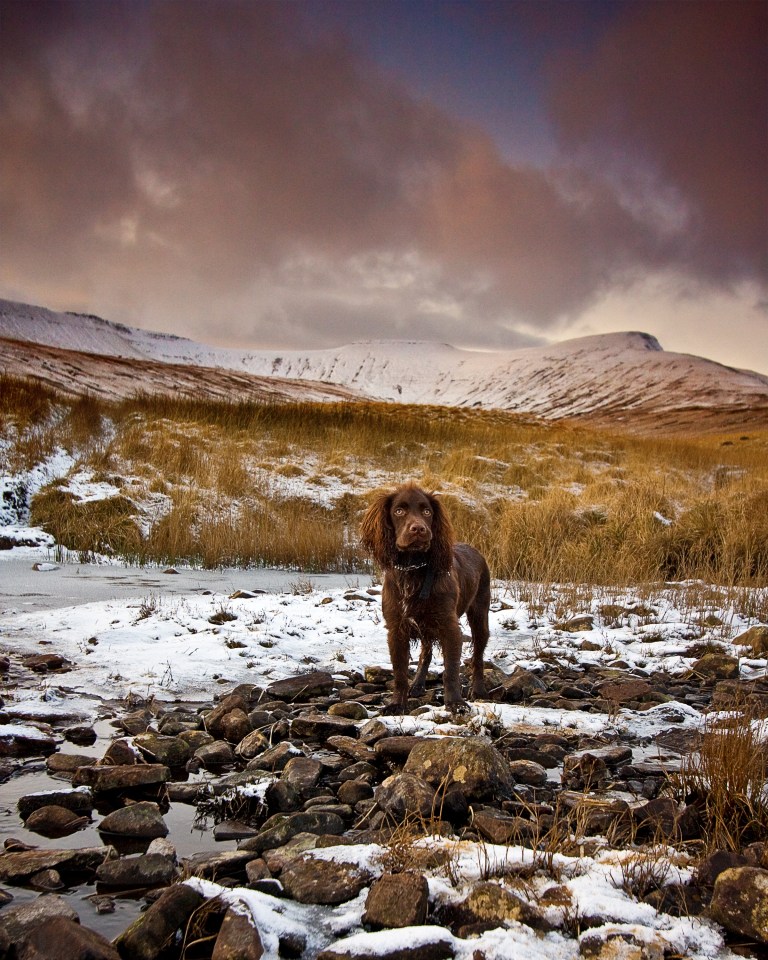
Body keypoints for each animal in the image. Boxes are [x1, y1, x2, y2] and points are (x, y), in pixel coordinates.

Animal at [362, 480, 492, 712]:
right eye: (399, 511)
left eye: (427, 512)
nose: (419, 529)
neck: (413, 570)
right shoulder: (397, 629)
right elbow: (400, 672)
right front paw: (397, 703)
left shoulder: (450, 627)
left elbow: (451, 670)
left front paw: (455, 703)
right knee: (426, 654)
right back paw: (417, 685)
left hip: (479, 614)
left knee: (478, 656)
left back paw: (478, 691)